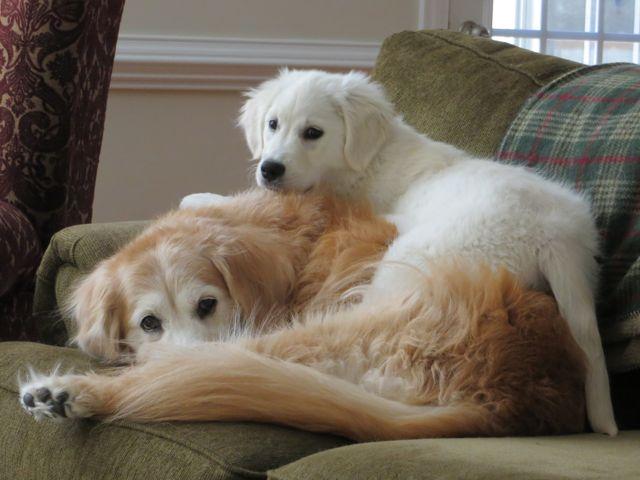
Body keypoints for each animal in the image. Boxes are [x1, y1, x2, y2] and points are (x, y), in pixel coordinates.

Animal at [188, 70, 616, 436]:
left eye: (313, 133)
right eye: (273, 124)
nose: (269, 168)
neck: (367, 162)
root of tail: (554, 236)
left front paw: (201, 199)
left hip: (403, 268)